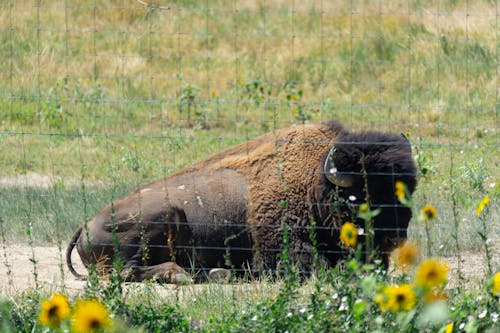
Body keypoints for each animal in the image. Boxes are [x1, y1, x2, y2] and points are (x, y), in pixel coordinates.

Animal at [67, 120, 418, 282]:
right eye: (359, 195)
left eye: (405, 192)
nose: (395, 238)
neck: (315, 184)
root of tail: (85, 225)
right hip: (167, 213)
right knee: (126, 270)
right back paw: (185, 274)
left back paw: (213, 273)